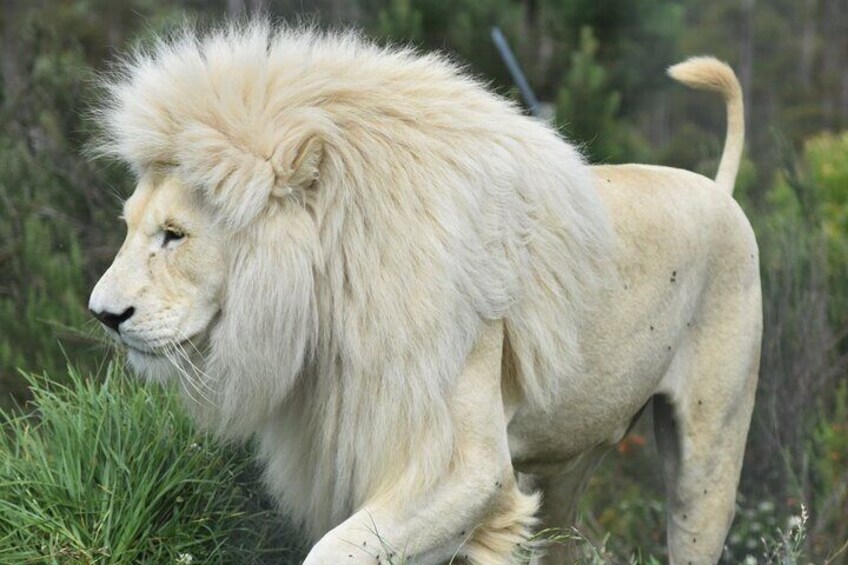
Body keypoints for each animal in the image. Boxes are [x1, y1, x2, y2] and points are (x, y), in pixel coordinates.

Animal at [89, 23, 760, 564]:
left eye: (174, 235)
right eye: (128, 225)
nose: (103, 315)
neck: (334, 292)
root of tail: (719, 191)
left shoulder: (469, 470)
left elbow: (337, 550)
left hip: (709, 459)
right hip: (571, 464)